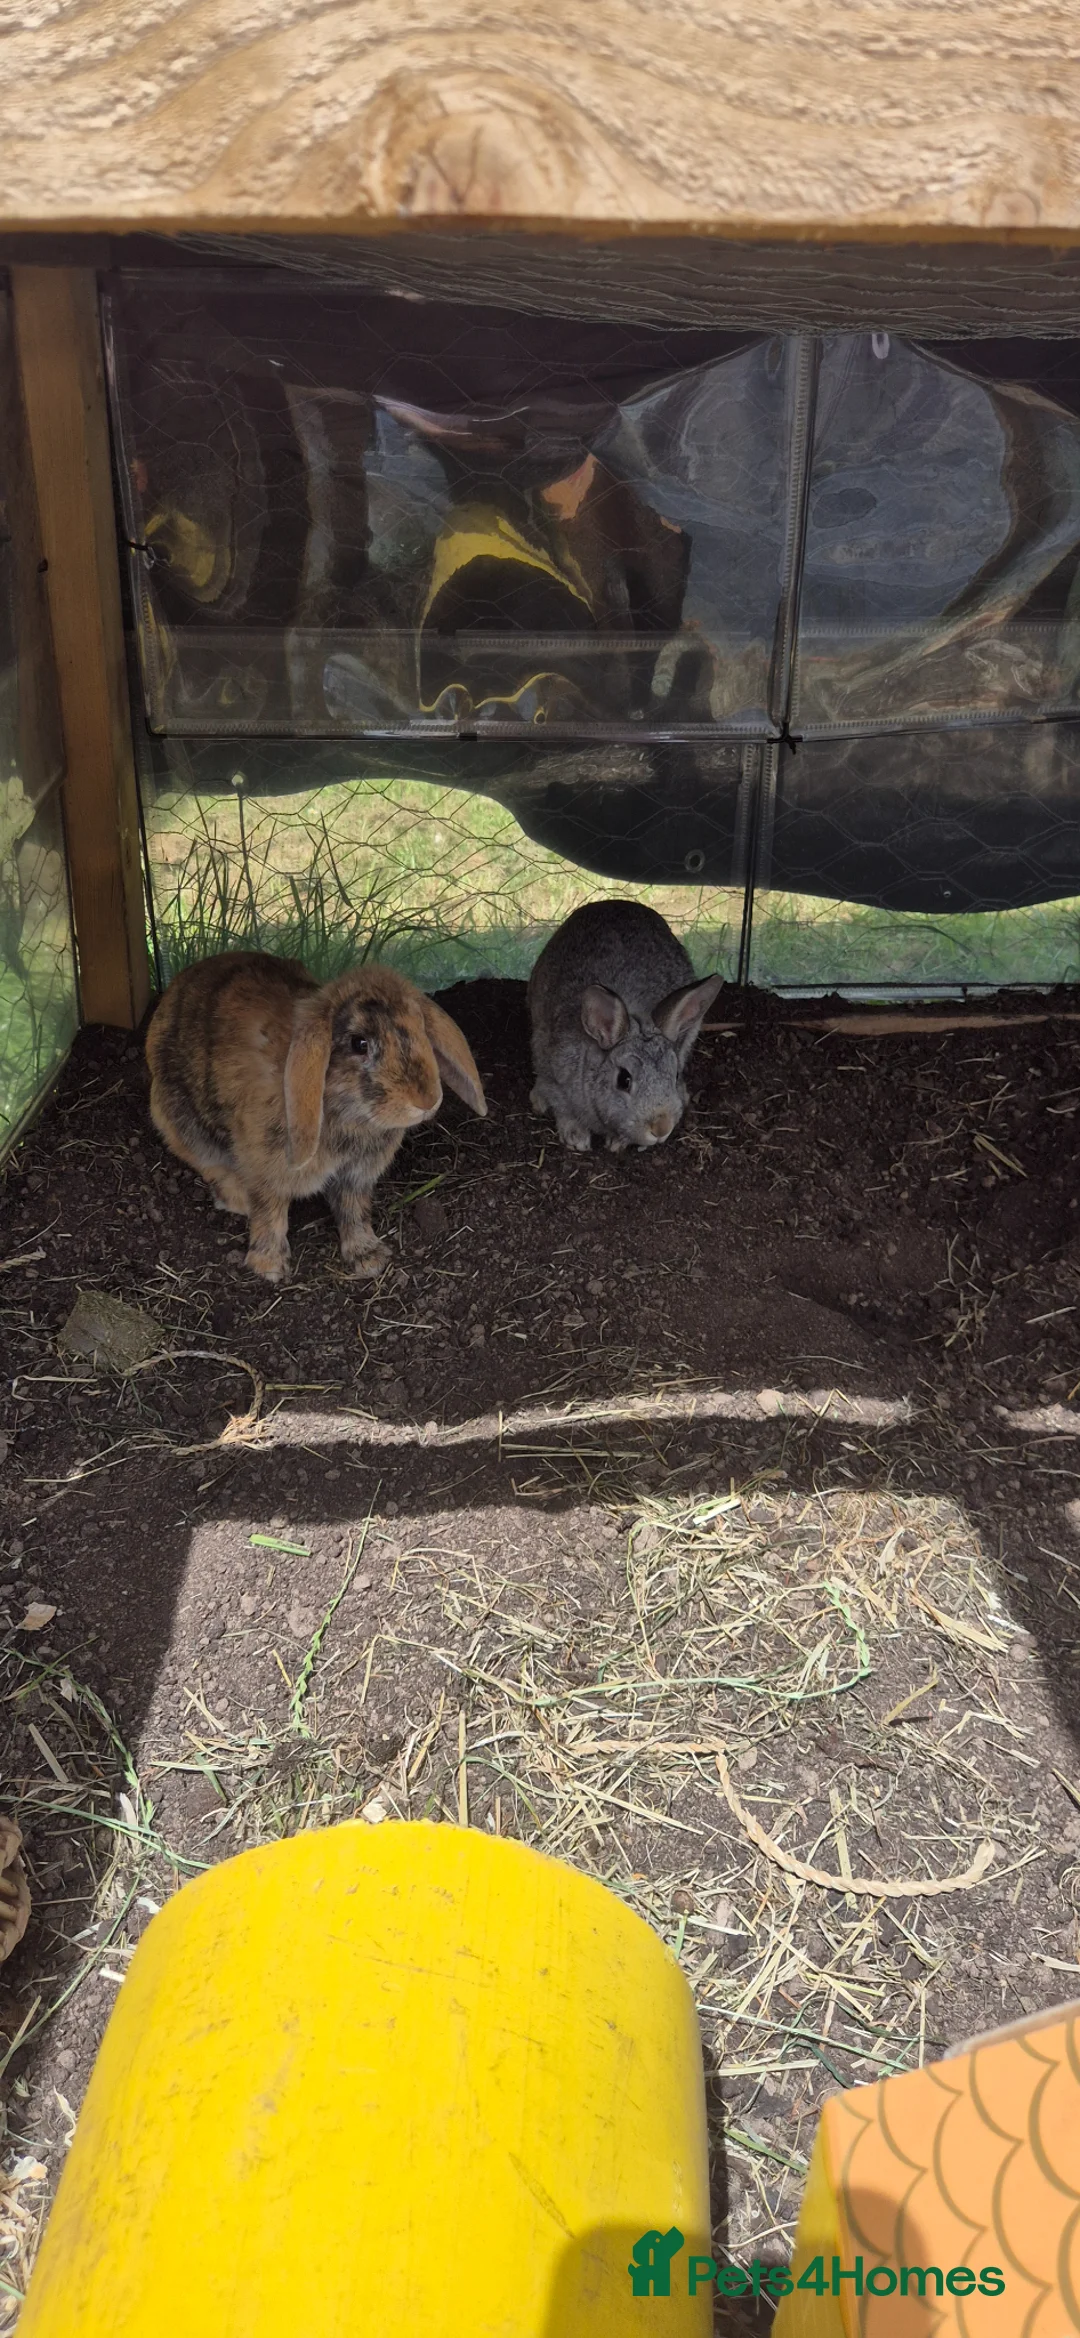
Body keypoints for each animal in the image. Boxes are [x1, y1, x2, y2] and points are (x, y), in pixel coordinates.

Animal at [146, 950, 486, 1283]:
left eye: (420, 1028)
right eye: (359, 1043)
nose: (426, 1099)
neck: (347, 1114)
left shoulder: (355, 1177)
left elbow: (354, 1211)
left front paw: (368, 1258)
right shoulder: (266, 1168)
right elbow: (270, 1211)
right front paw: (268, 1266)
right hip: (178, 1119)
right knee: (209, 1163)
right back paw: (237, 1200)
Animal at [527, 901, 724, 1154]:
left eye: (675, 1074)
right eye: (624, 1080)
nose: (661, 1128)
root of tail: (616, 902)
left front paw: (618, 1142)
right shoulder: (555, 1075)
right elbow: (563, 1110)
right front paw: (576, 1138)